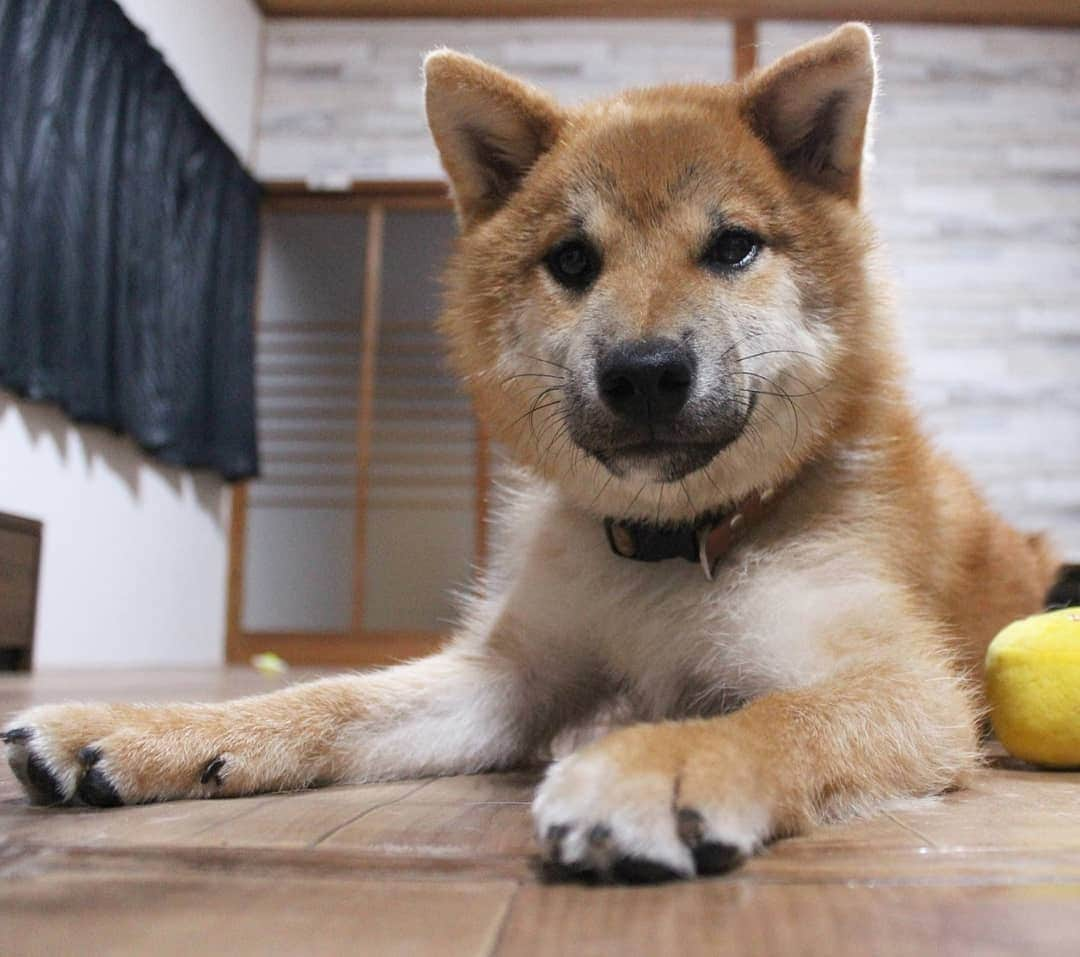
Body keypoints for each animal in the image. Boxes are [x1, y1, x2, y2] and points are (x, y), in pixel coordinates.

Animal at [4, 24, 1058, 890]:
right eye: (573, 261)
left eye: (732, 246)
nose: (644, 372)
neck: (674, 547)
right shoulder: (513, 673)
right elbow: (332, 700)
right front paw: (152, 729)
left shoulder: (903, 682)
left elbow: (775, 716)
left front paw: (664, 761)